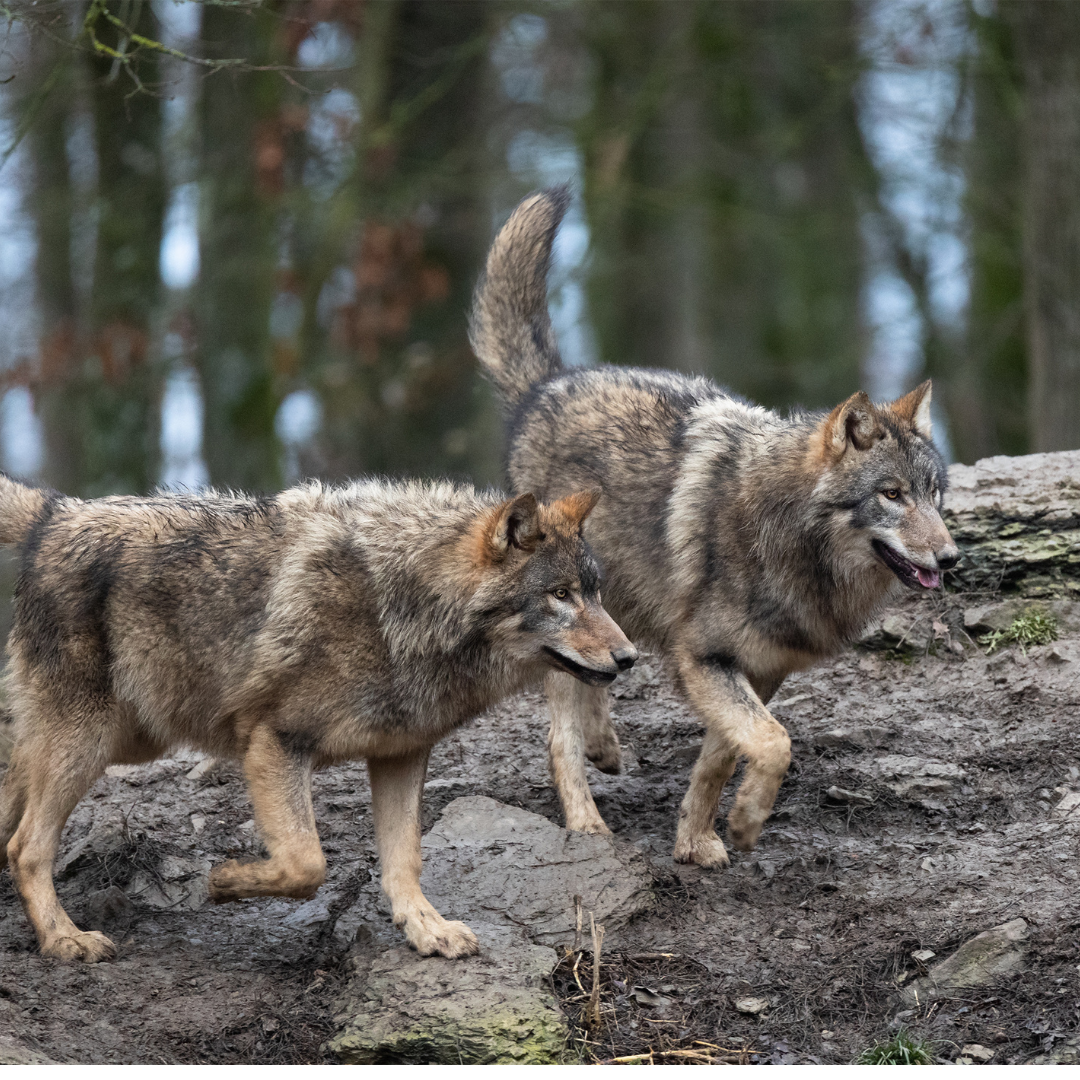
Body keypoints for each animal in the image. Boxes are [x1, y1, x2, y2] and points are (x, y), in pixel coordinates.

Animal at [0, 473, 635, 962]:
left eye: (595, 593)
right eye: (559, 595)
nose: (629, 657)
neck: (403, 608)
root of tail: (56, 513)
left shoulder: (401, 754)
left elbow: (404, 860)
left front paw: (426, 929)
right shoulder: (275, 743)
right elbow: (307, 864)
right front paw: (223, 882)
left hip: (125, 740)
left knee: (12, 808)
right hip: (90, 744)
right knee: (27, 846)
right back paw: (64, 941)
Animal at [470, 187, 959, 867]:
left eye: (935, 497)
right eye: (892, 495)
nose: (951, 559)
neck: (787, 541)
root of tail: (548, 384)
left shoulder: (760, 670)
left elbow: (723, 759)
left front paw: (697, 838)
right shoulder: (702, 660)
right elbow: (775, 743)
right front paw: (747, 823)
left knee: (596, 681)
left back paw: (606, 748)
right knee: (558, 738)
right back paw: (587, 824)